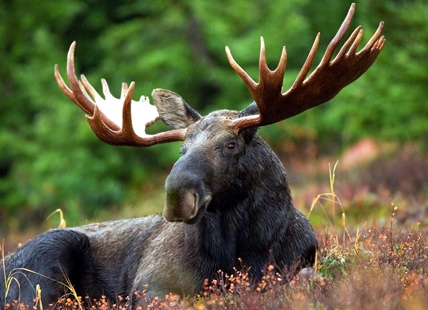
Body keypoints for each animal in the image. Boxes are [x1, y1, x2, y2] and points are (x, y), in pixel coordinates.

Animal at [0, 4, 384, 308]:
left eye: (230, 145)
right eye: (182, 149)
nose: (176, 197)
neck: (246, 249)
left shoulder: (300, 263)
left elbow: (308, 278)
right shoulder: (151, 284)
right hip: (45, 257)